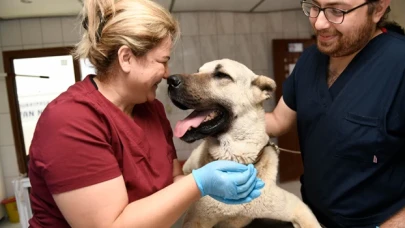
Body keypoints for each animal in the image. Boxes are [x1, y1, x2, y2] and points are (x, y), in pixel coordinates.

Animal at [166, 59, 320, 228]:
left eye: (222, 75)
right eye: (197, 71)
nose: (170, 80)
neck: (235, 159)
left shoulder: (298, 207)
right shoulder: (195, 220)